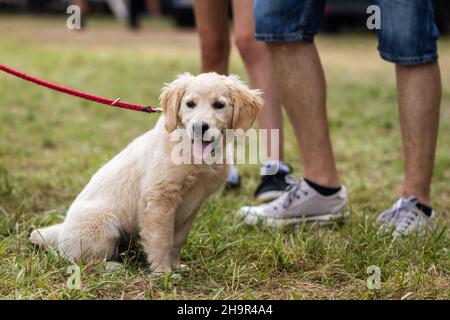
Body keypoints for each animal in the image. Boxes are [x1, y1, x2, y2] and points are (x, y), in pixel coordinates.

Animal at [29, 73, 262, 276]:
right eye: (190, 104)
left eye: (219, 105)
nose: (199, 127)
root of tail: (62, 232)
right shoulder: (158, 197)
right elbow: (162, 239)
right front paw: (163, 272)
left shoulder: (194, 203)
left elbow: (178, 239)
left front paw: (175, 266)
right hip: (101, 224)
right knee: (77, 260)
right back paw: (112, 267)